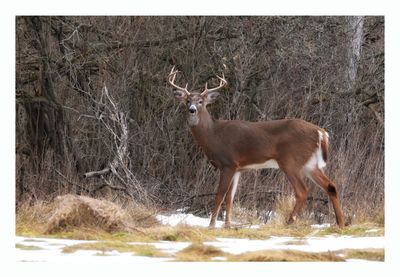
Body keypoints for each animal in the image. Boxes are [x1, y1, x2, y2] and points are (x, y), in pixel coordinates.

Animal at [167, 66, 346, 226]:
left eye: (201, 101)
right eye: (187, 101)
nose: (192, 110)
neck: (213, 135)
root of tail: (321, 133)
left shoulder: (228, 163)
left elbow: (219, 196)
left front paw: (211, 225)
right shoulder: (238, 168)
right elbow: (230, 198)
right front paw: (227, 225)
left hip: (290, 161)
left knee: (302, 191)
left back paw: (289, 221)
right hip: (310, 164)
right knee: (331, 186)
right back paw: (340, 223)